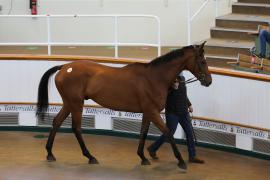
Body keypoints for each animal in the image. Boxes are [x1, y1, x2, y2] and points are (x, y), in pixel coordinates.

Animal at [35, 42, 212, 170]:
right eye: (203, 61)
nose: (209, 81)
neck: (154, 77)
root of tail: (65, 67)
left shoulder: (147, 112)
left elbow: (143, 133)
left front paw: (143, 157)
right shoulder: (153, 112)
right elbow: (168, 132)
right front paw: (181, 161)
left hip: (69, 103)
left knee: (57, 122)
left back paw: (50, 153)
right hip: (76, 104)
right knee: (76, 128)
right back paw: (90, 156)